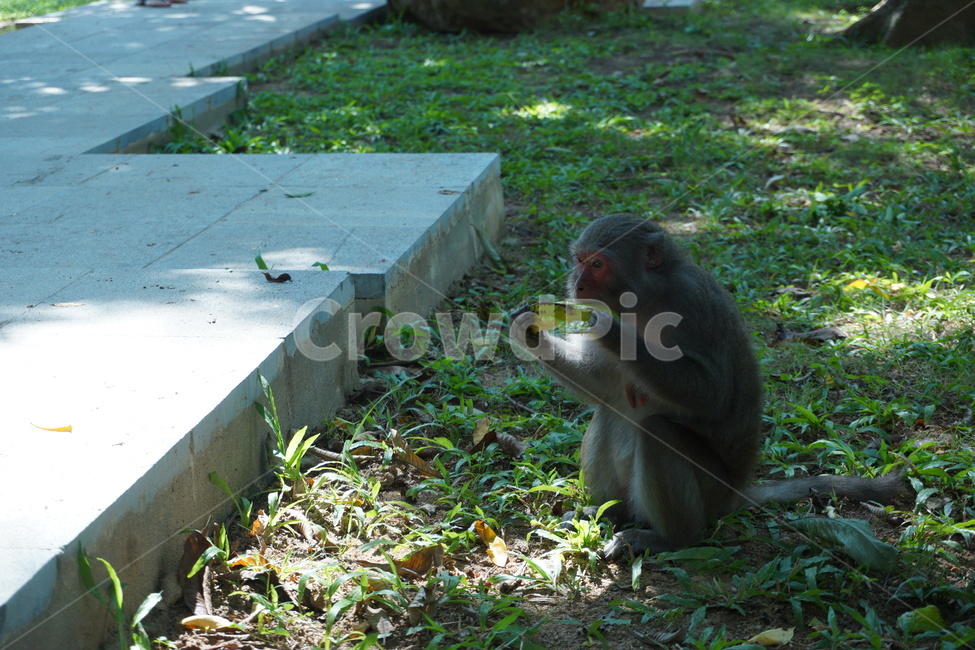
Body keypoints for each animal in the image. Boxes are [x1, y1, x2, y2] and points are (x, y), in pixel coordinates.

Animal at [511, 214, 905, 561]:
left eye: (597, 265)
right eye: (579, 261)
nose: (576, 286)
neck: (647, 298)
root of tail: (734, 494)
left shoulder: (693, 304)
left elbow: (713, 395)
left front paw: (610, 330)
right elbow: (602, 384)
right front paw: (528, 331)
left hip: (711, 492)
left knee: (658, 433)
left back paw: (670, 539)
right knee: (610, 412)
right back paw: (610, 512)